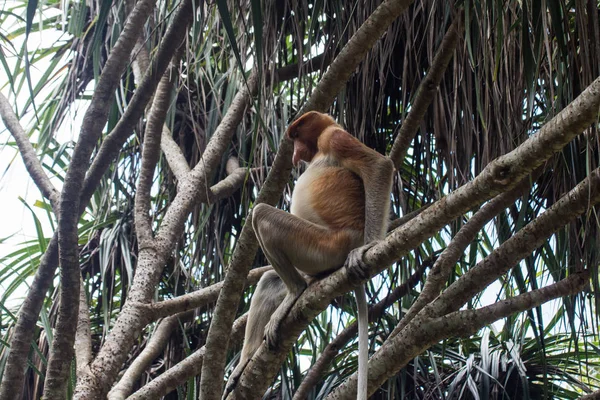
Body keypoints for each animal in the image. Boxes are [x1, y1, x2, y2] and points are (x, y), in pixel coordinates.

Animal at [225, 110, 394, 400]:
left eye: (295, 136)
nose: (294, 154)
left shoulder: (334, 137)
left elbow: (379, 165)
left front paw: (369, 246)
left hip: (325, 246)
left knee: (261, 214)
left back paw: (297, 291)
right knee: (269, 281)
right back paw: (244, 365)